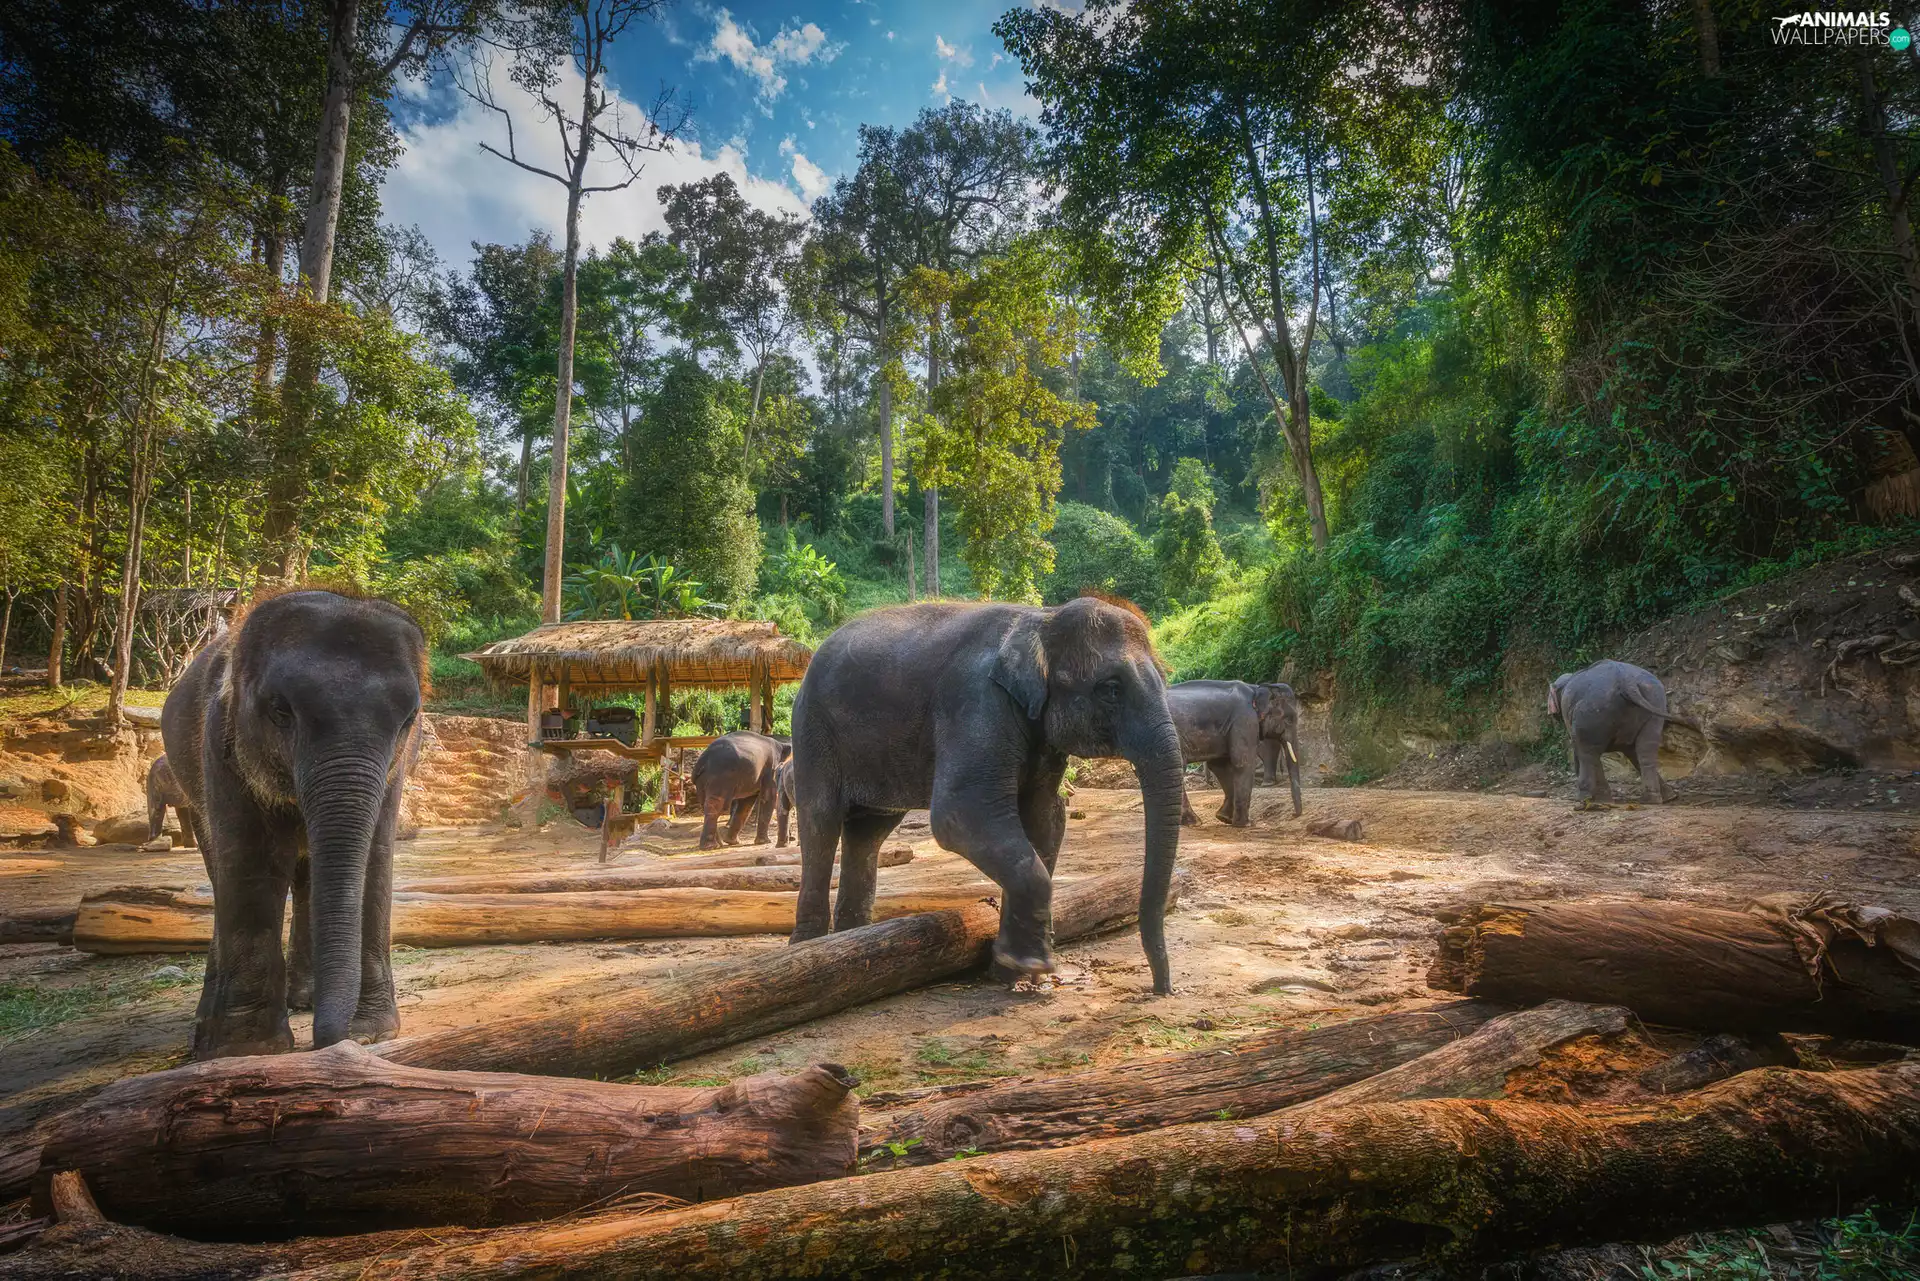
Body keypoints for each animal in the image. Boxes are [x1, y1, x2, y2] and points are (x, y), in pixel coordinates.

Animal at [161, 589, 426, 1060]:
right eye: (280, 711)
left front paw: (371, 1032)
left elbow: (375, 857)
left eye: (408, 719)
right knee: (220, 870)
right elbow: (251, 858)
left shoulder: (397, 766)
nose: (335, 1041)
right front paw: (246, 1050)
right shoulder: (219, 743)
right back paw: (208, 1021)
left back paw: (303, 998)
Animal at [789, 596, 1184, 993]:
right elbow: (959, 814)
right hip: (811, 730)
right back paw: (811, 946)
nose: (1161, 988)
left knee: (868, 832)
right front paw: (1034, 965)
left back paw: (852, 941)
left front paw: (1011, 971)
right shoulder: (976, 701)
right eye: (1112, 689)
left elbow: (1044, 817)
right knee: (820, 822)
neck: (1043, 620)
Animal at [1166, 680, 1289, 827]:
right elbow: (1243, 762)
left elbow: (1220, 765)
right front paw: (1246, 824)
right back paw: (1194, 822)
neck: (1255, 688)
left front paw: (1225, 818)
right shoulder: (1244, 720)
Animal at [1548, 659, 1678, 805]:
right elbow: (1631, 751)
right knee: (1645, 749)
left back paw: (1585, 799)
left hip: (1593, 710)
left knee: (1587, 751)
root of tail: (1627, 681)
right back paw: (1657, 799)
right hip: (1654, 703)